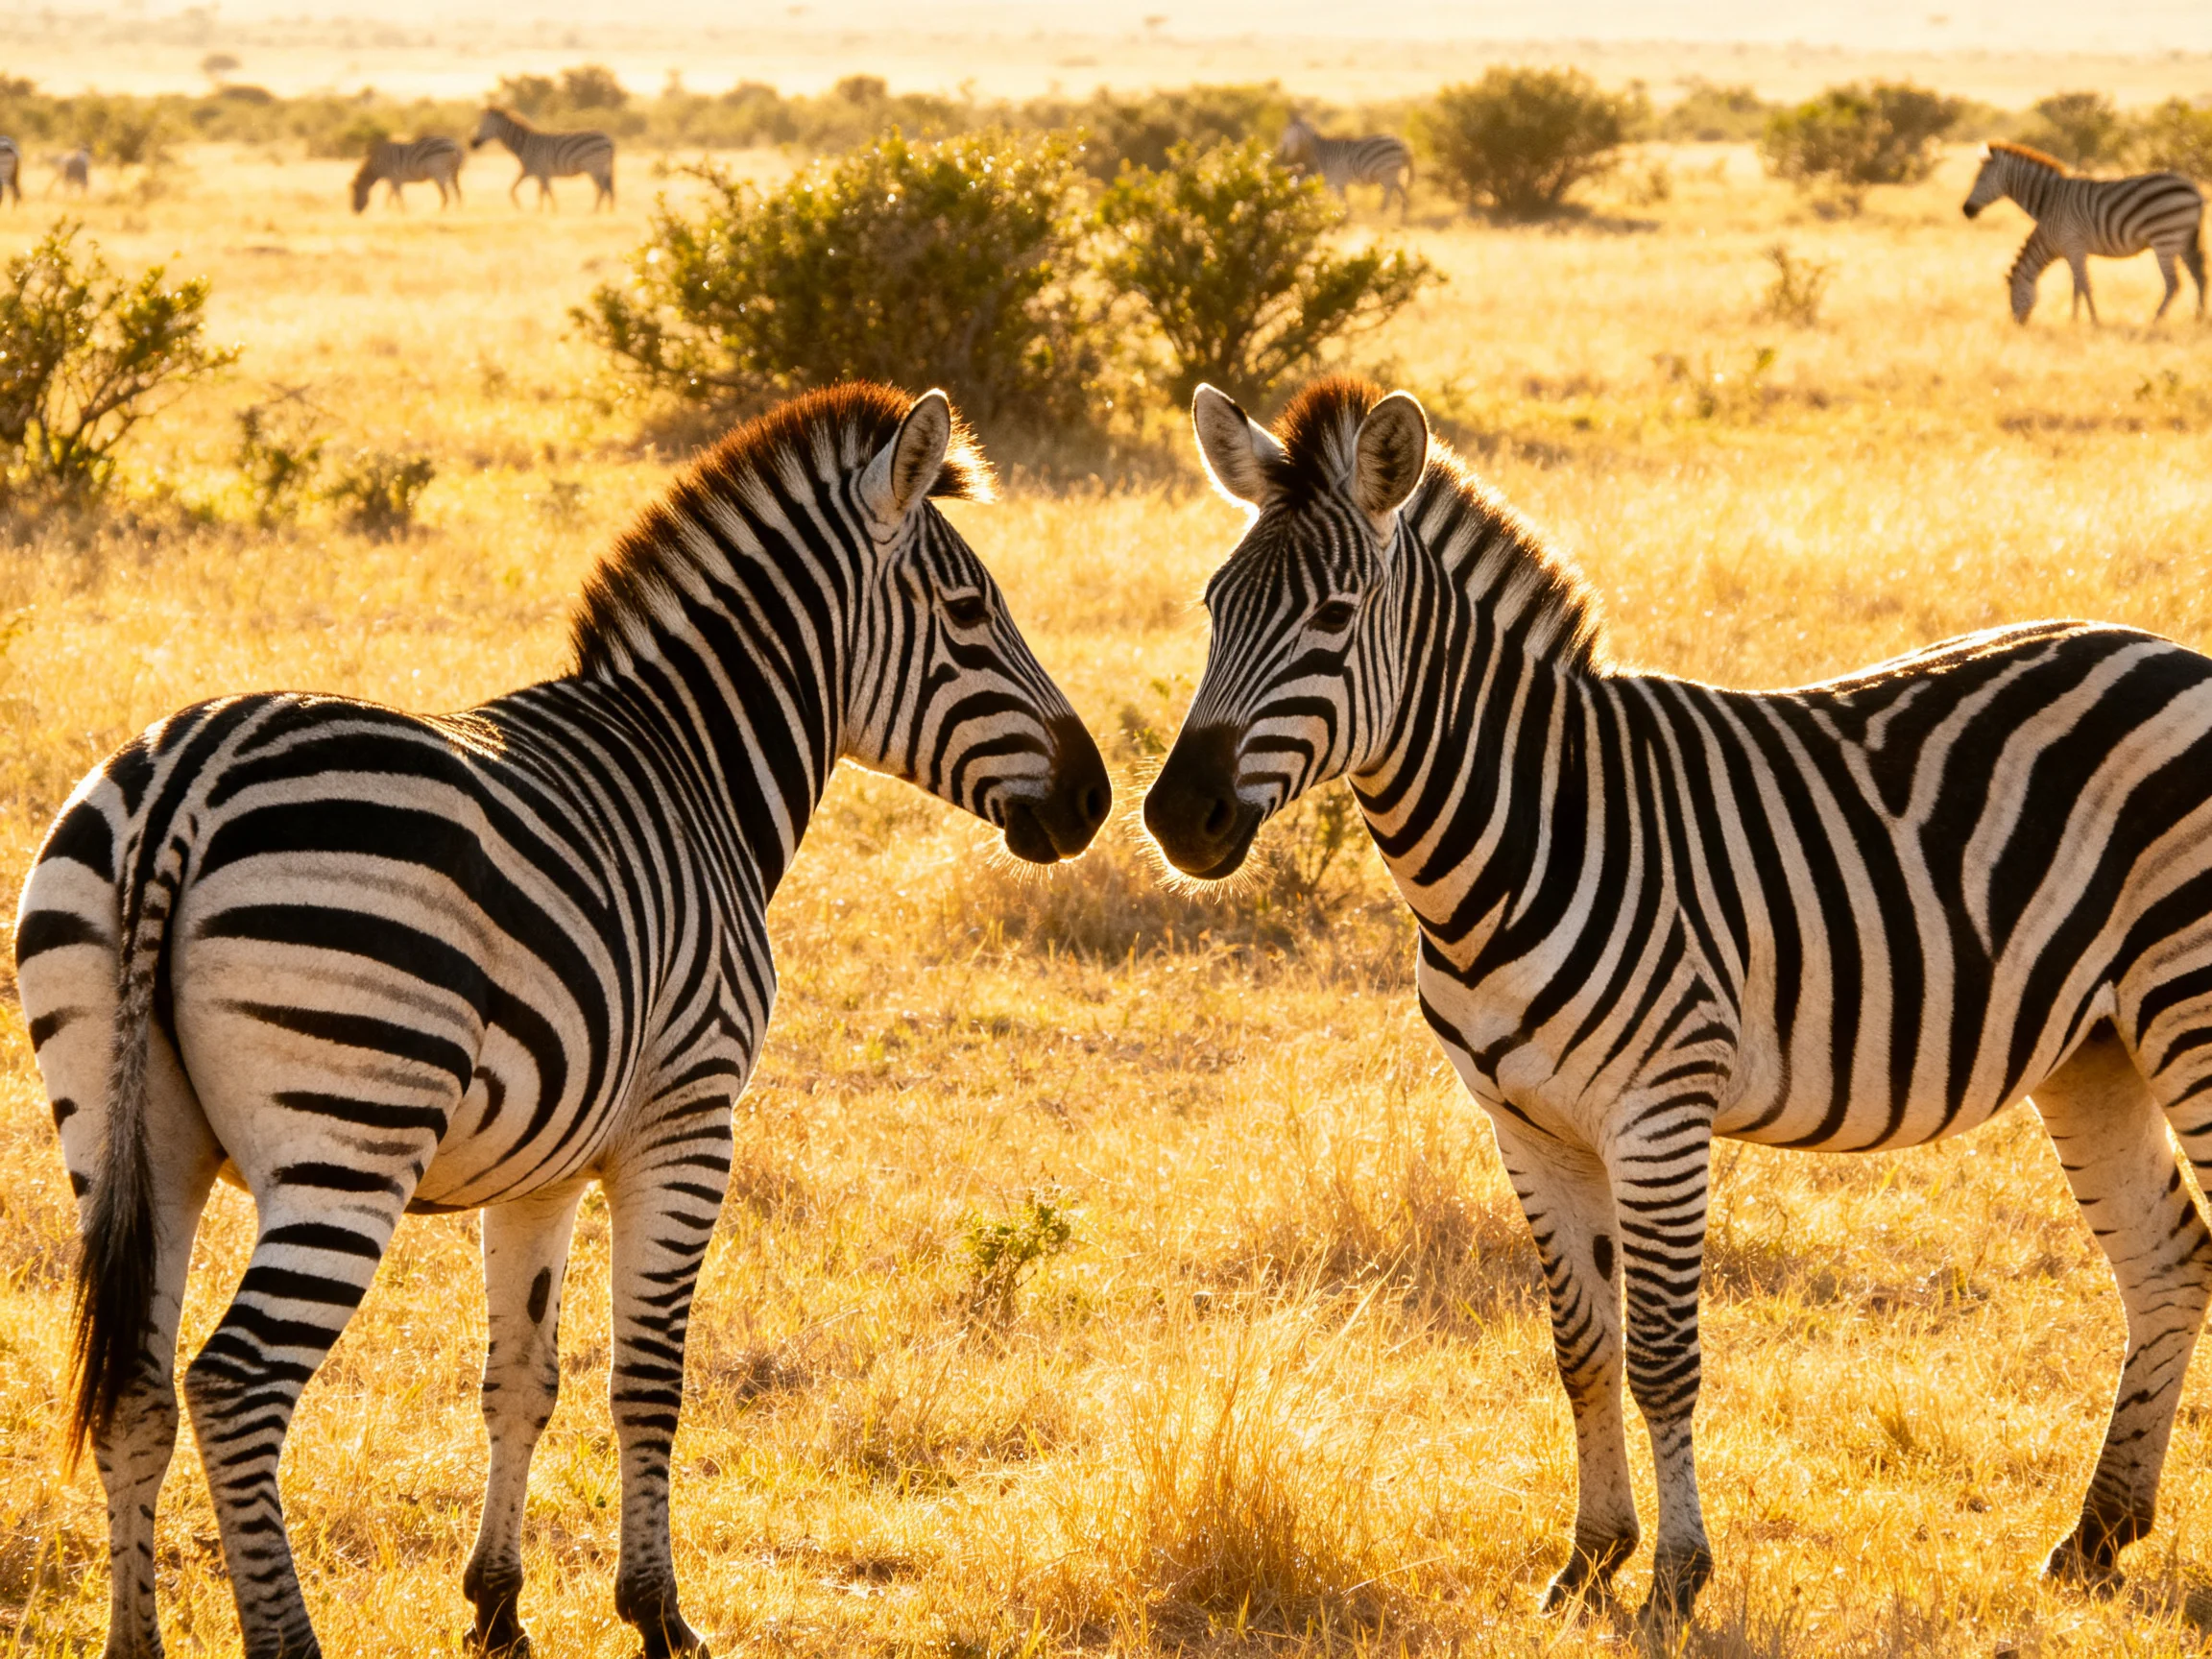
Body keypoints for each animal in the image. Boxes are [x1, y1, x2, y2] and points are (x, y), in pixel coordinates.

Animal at [18, 382, 1110, 1659]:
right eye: (971, 612)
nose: (1096, 798)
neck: (696, 768)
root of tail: (184, 782)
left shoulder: (537, 1163)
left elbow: (521, 1378)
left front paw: (498, 1607)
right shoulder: (687, 1122)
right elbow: (648, 1377)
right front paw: (659, 1614)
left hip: (127, 1139)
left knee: (135, 1385)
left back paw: (134, 1639)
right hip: (349, 1139)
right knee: (234, 1386)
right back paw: (290, 1639)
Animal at [471, 106, 614, 210]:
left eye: (485, 126)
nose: (472, 144)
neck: (525, 144)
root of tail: (607, 138)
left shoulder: (539, 172)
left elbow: (544, 194)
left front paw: (540, 211)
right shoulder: (534, 172)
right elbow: (525, 191)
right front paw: (542, 212)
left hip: (594, 167)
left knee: (602, 188)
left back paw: (594, 212)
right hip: (600, 169)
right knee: (607, 188)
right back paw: (609, 212)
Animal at [1145, 373, 2212, 1625]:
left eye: (1336, 614)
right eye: (1213, 606)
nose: (1177, 818)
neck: (1520, 830)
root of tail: (2177, 656)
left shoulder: (1658, 1113)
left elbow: (1661, 1354)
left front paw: (1674, 1579)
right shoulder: (1525, 1125)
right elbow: (1581, 1348)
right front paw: (1590, 1558)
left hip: (2187, 1004)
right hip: (2096, 1047)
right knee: (2165, 1259)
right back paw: (2096, 1536)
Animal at [1277, 113, 1414, 220]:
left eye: (1287, 132)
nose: (1281, 151)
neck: (1323, 153)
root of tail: (1403, 144)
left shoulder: (1338, 181)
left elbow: (1341, 201)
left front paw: (1342, 220)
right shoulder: (1334, 182)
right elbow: (1335, 201)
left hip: (1387, 173)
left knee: (1389, 193)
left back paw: (1381, 215)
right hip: (1391, 173)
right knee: (1401, 191)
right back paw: (1402, 216)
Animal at [1962, 140, 2205, 324]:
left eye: (1980, 179)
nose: (1965, 210)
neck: (2051, 197)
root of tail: (2192, 188)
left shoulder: (2074, 244)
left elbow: (2084, 285)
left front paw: (2093, 323)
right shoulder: (2073, 249)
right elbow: (2077, 286)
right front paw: (2075, 321)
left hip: (2165, 239)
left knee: (2174, 283)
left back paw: (2154, 321)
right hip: (2185, 239)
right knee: (2199, 275)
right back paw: (2199, 319)